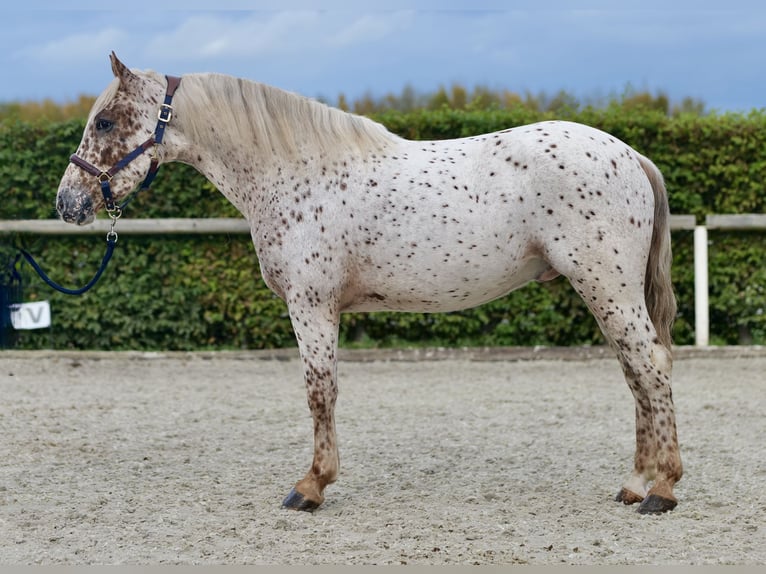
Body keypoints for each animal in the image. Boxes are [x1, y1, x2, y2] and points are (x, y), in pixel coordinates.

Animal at [57, 51, 688, 516]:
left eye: (105, 121)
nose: (68, 203)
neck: (295, 172)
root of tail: (631, 156)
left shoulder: (311, 306)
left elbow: (320, 391)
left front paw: (311, 486)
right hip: (607, 293)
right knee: (636, 372)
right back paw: (635, 482)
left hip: (607, 287)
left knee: (651, 366)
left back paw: (661, 490)